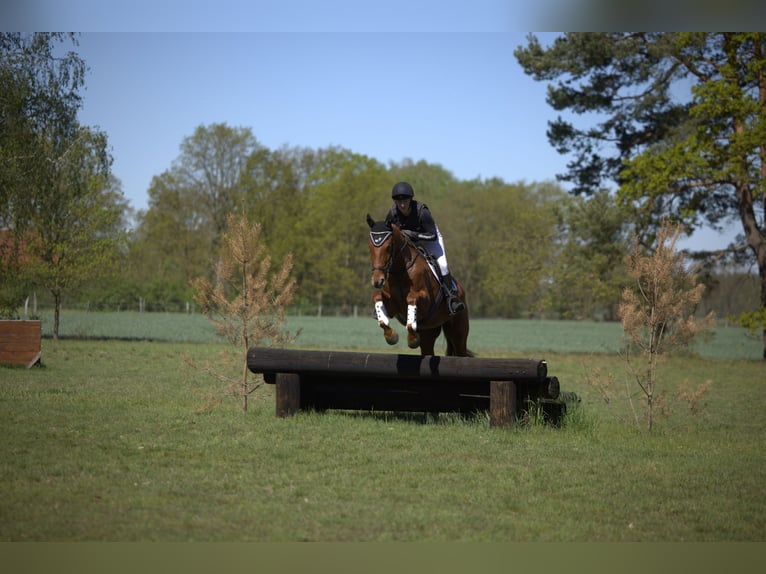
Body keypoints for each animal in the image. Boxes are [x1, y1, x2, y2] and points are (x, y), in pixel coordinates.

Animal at [366, 214, 473, 357]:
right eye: (370, 247)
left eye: (388, 247)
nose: (377, 281)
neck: (401, 270)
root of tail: (461, 290)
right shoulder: (394, 306)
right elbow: (377, 297)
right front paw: (391, 336)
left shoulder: (426, 303)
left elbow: (412, 299)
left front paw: (412, 339)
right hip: (428, 332)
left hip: (457, 331)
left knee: (460, 349)